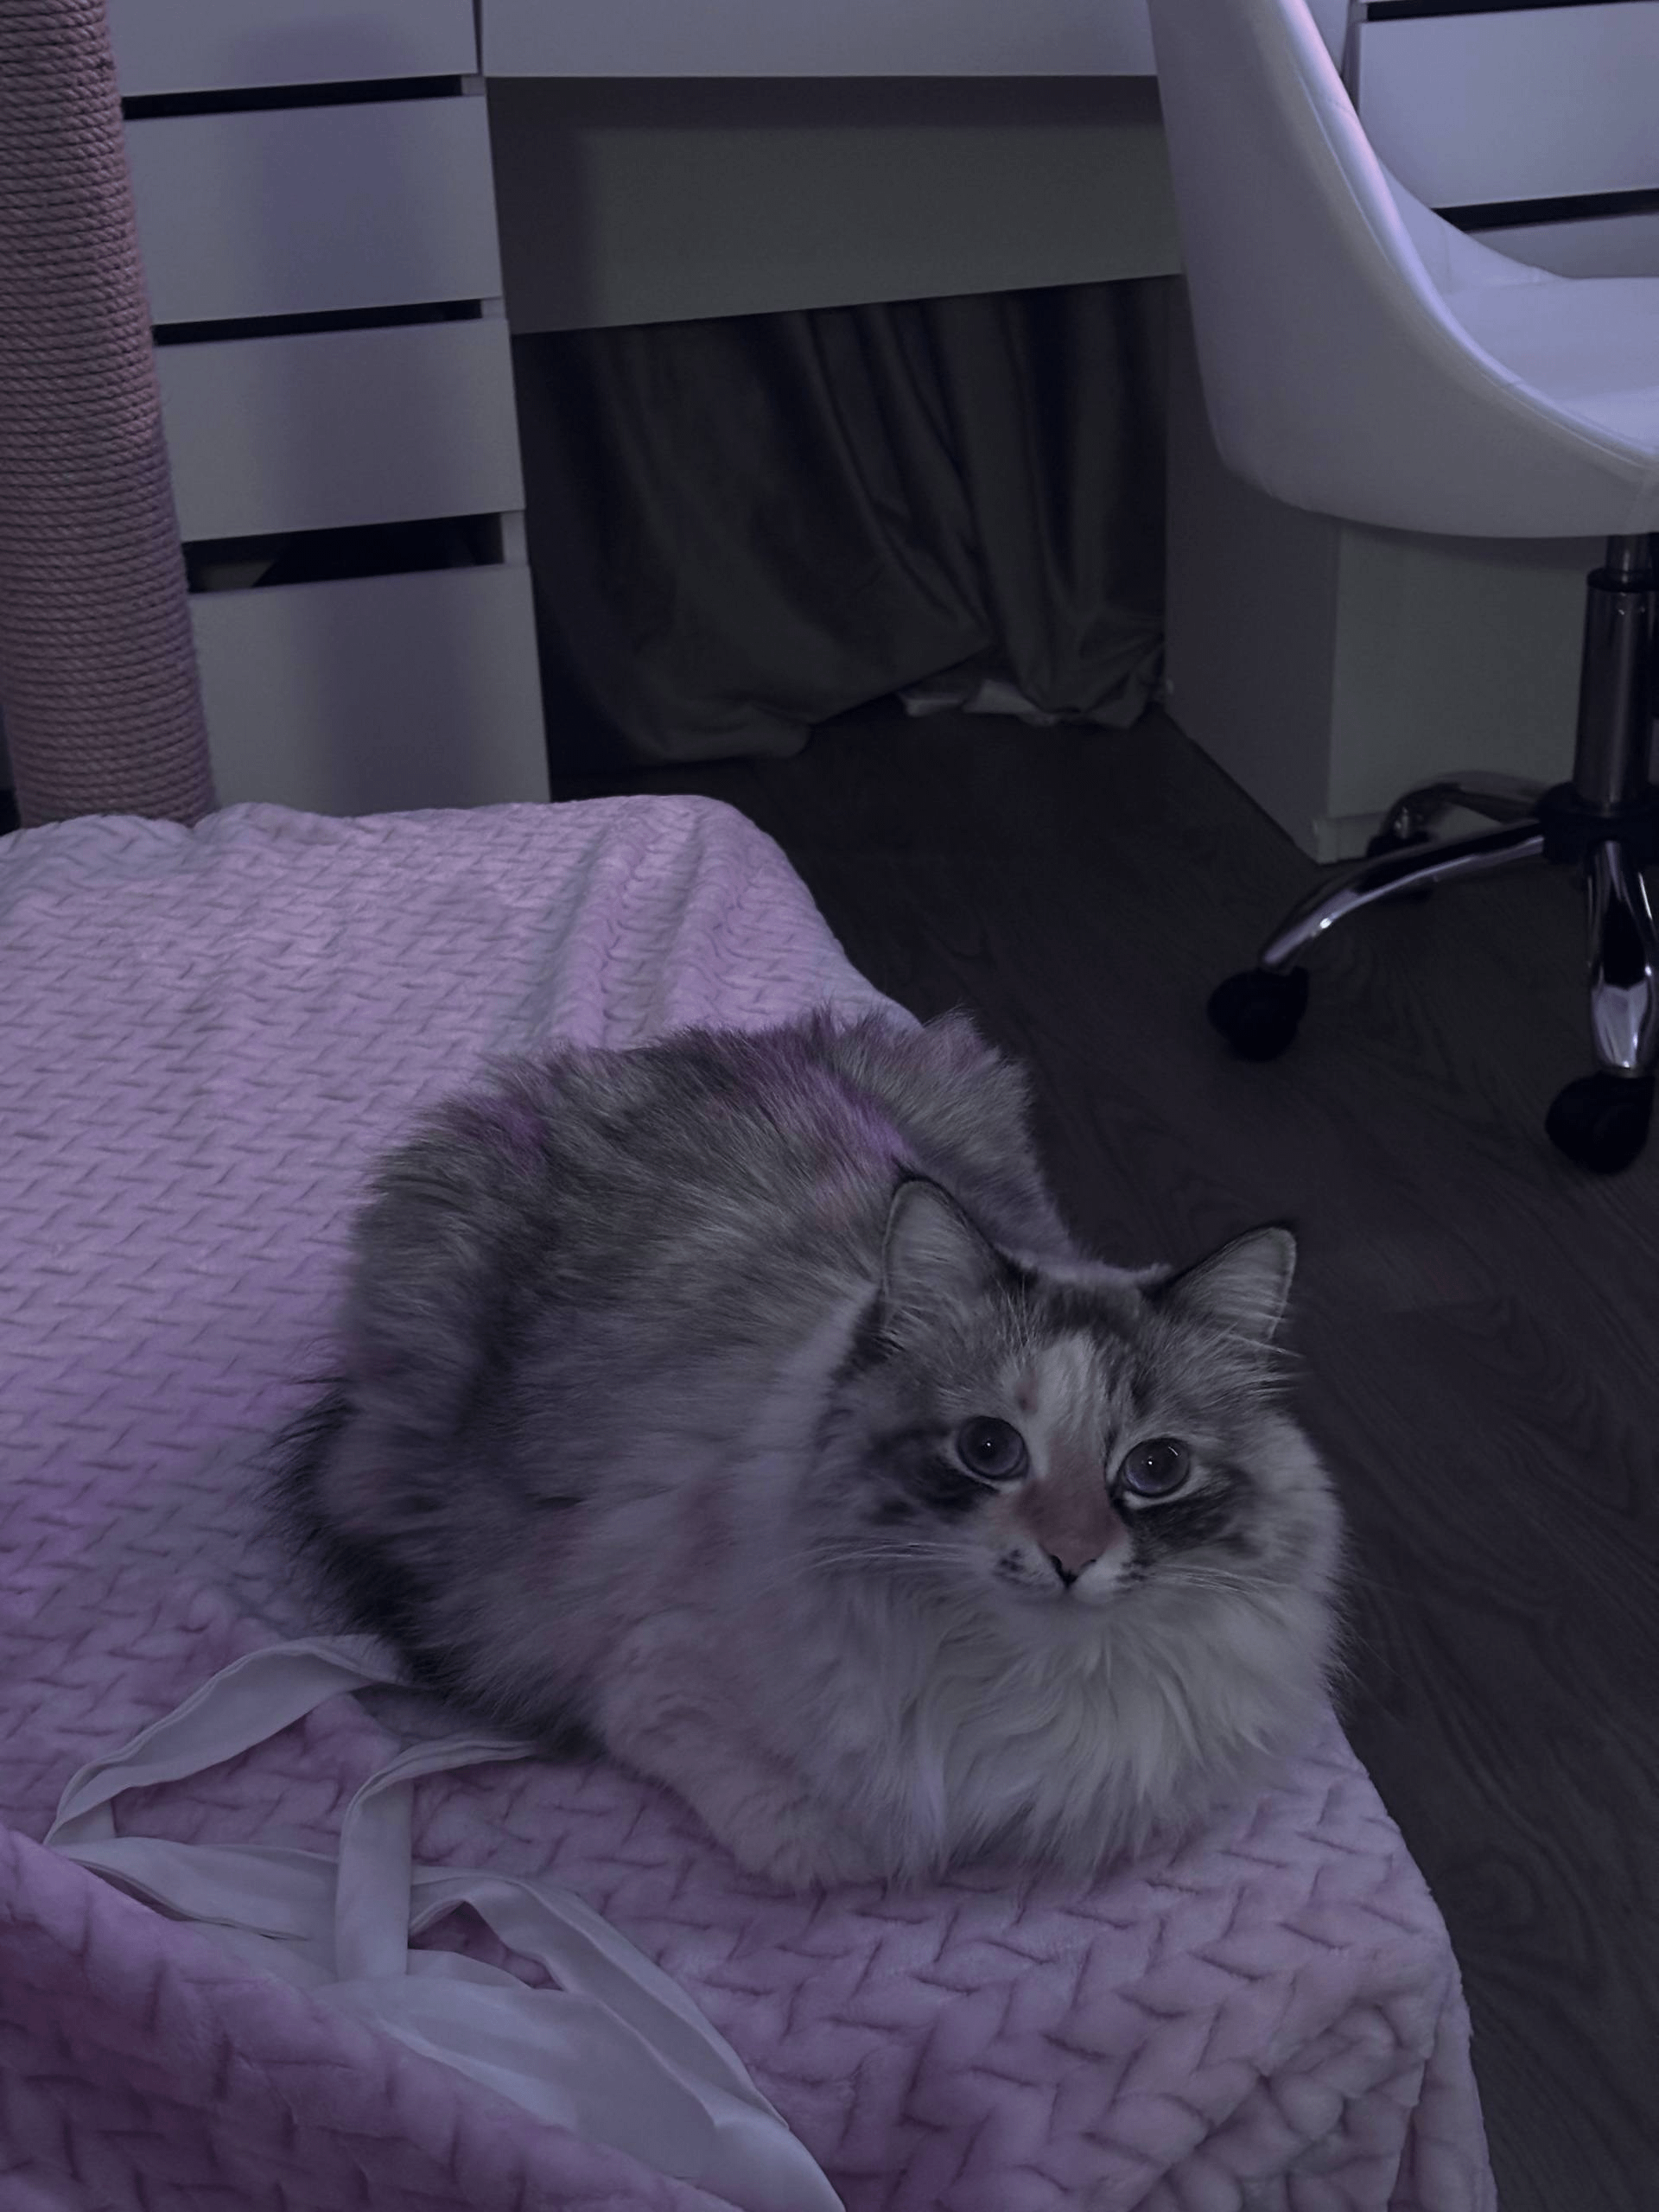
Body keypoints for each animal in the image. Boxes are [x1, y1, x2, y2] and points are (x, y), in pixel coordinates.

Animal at [277, 1007, 1342, 1890]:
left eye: (1155, 1470)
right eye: (990, 1448)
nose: (1071, 1559)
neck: (1024, 1675)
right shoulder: (654, 1689)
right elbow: (851, 1844)